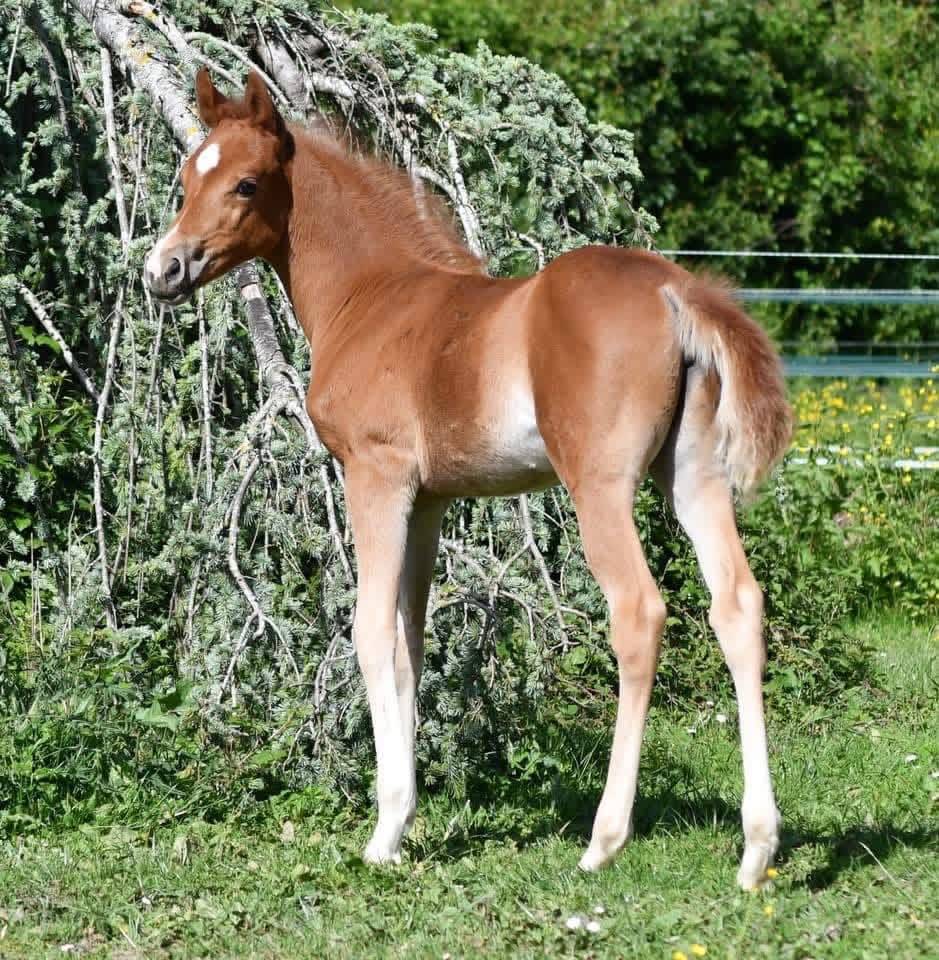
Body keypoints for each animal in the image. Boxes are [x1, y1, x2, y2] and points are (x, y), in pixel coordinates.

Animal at [144, 69, 792, 889]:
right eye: (186, 177)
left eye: (247, 184)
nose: (163, 270)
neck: (372, 296)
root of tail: (675, 292)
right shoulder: (429, 500)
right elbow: (409, 639)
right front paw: (406, 816)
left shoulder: (376, 475)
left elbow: (368, 631)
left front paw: (385, 829)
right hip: (691, 475)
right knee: (736, 604)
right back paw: (756, 847)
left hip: (599, 484)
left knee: (639, 612)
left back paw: (604, 838)